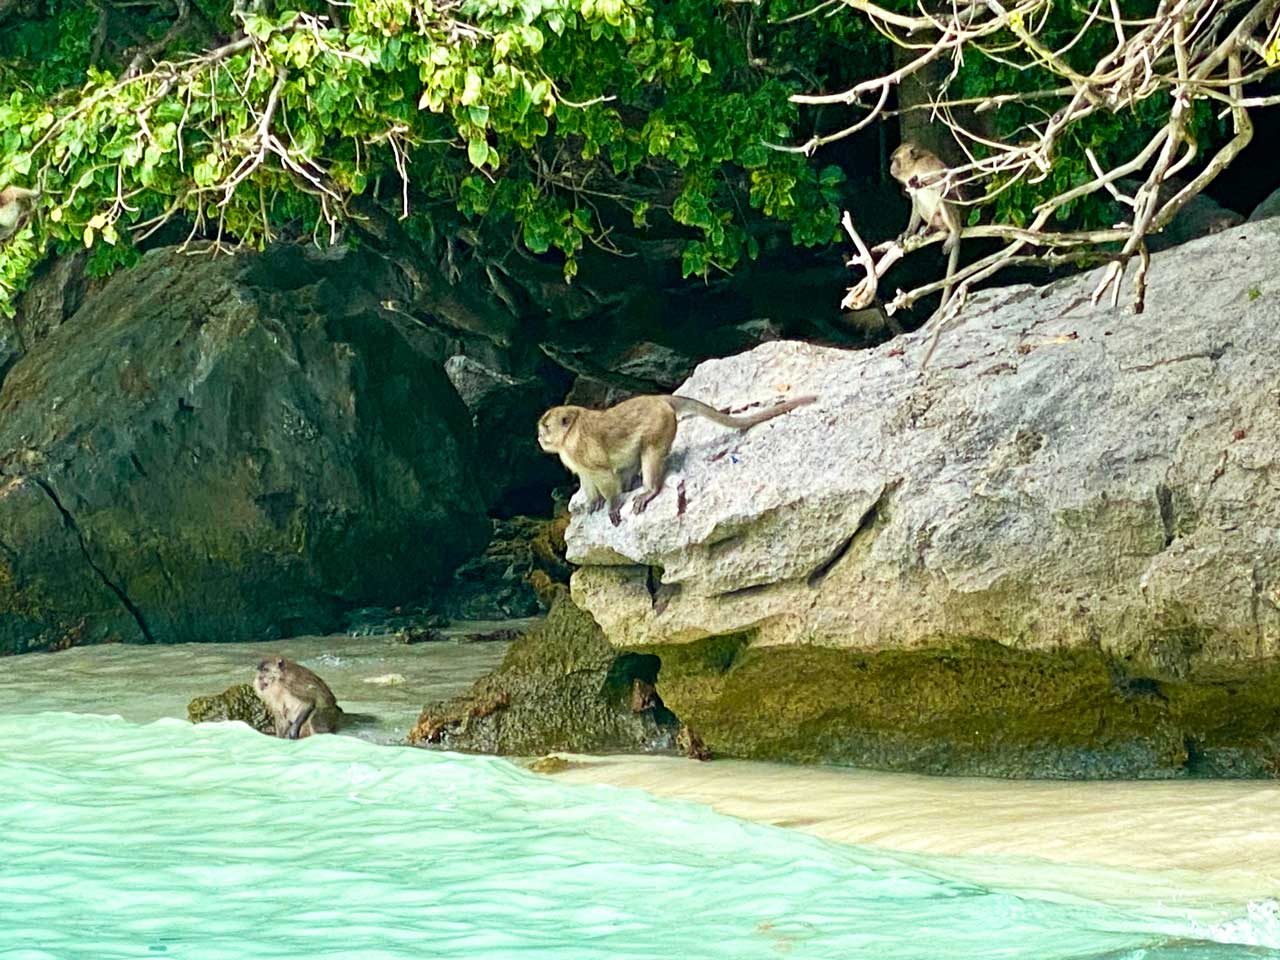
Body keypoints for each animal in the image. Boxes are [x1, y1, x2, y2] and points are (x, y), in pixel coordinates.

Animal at [537, 392, 815, 526]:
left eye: (546, 427)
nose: (539, 437)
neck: (570, 432)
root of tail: (659, 399)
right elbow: (587, 477)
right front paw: (593, 502)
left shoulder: (581, 446)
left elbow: (603, 473)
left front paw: (612, 505)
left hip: (660, 425)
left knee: (649, 452)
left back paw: (649, 490)